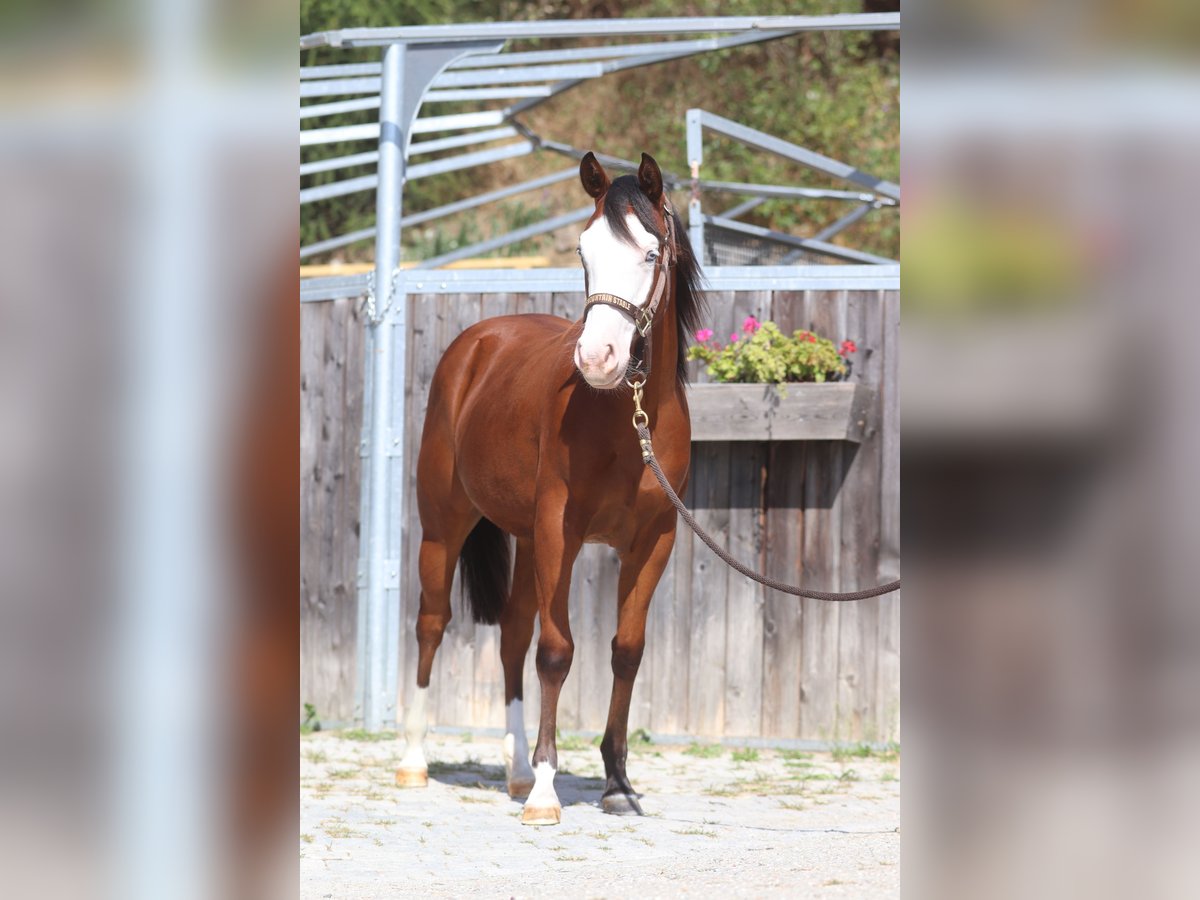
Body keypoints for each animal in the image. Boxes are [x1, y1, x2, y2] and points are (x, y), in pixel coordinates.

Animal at [393, 151, 700, 830]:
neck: (626, 417)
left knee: (510, 632)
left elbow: (626, 650)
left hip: (529, 540)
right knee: (432, 624)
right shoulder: (563, 529)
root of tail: (478, 343)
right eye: (584, 252)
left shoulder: (654, 540)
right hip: (444, 527)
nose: (599, 358)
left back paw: (511, 770)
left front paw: (617, 783)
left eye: (650, 253)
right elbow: (557, 652)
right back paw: (415, 762)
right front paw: (545, 791)